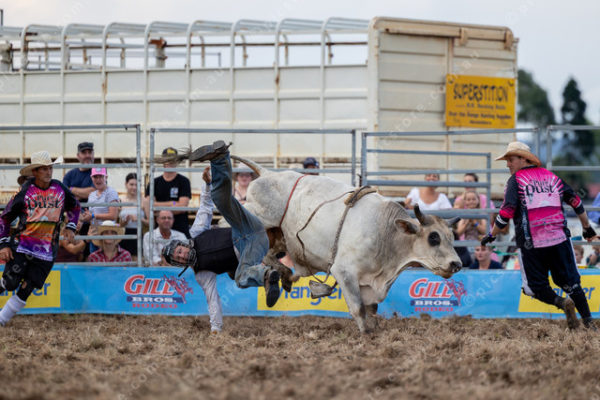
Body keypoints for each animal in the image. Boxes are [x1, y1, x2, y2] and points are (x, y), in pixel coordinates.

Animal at [232, 155, 463, 333]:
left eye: (450, 237)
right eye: (433, 237)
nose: (457, 264)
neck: (386, 234)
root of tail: (268, 174)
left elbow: (371, 309)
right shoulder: (344, 271)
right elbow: (358, 308)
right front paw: (365, 334)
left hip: (279, 237)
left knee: (271, 256)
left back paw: (285, 275)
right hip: (259, 218)